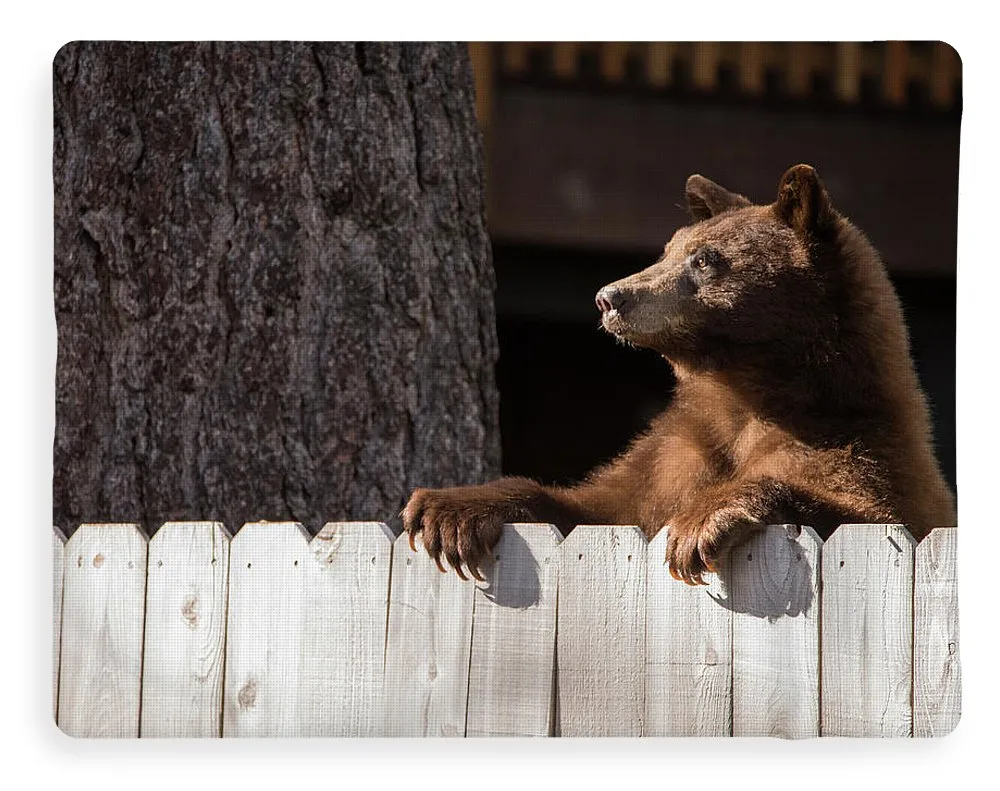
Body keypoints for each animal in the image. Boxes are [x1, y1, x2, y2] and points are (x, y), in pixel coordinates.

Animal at [402, 166, 956, 588]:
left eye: (705, 258)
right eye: (668, 249)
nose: (611, 297)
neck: (745, 394)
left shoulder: (857, 448)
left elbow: (861, 510)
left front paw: (700, 522)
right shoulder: (676, 451)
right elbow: (596, 505)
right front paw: (446, 510)